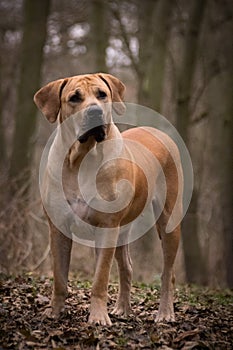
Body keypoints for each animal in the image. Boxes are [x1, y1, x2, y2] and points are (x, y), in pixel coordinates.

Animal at [33, 73, 183, 326]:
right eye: (74, 98)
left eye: (102, 94)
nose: (95, 112)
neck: (80, 158)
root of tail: (161, 133)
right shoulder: (59, 228)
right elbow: (60, 277)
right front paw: (55, 312)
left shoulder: (107, 227)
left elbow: (100, 278)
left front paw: (98, 317)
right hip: (124, 229)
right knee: (127, 268)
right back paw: (123, 308)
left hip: (168, 222)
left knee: (168, 273)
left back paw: (165, 312)